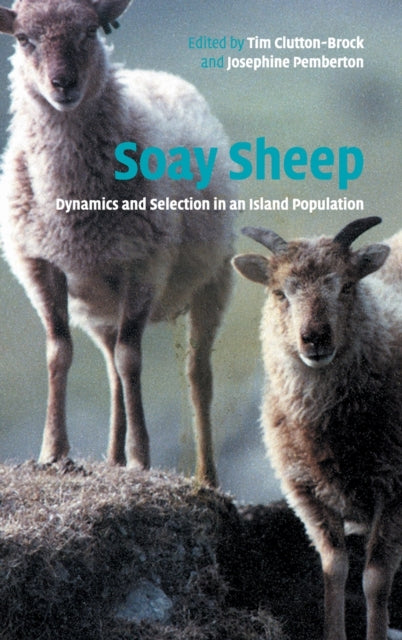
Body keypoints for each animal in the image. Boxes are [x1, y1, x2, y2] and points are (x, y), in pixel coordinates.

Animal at [0, 0, 235, 487]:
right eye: (23, 39)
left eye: (90, 31)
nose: (63, 84)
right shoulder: (39, 263)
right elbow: (58, 352)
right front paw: (53, 451)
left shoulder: (144, 262)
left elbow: (132, 359)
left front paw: (141, 457)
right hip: (98, 303)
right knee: (110, 374)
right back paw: (110, 457)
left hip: (214, 279)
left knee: (197, 374)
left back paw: (205, 476)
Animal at [232, 217, 402, 640]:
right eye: (279, 292)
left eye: (346, 286)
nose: (315, 338)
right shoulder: (306, 491)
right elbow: (334, 570)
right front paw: (333, 632)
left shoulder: (395, 491)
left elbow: (376, 579)